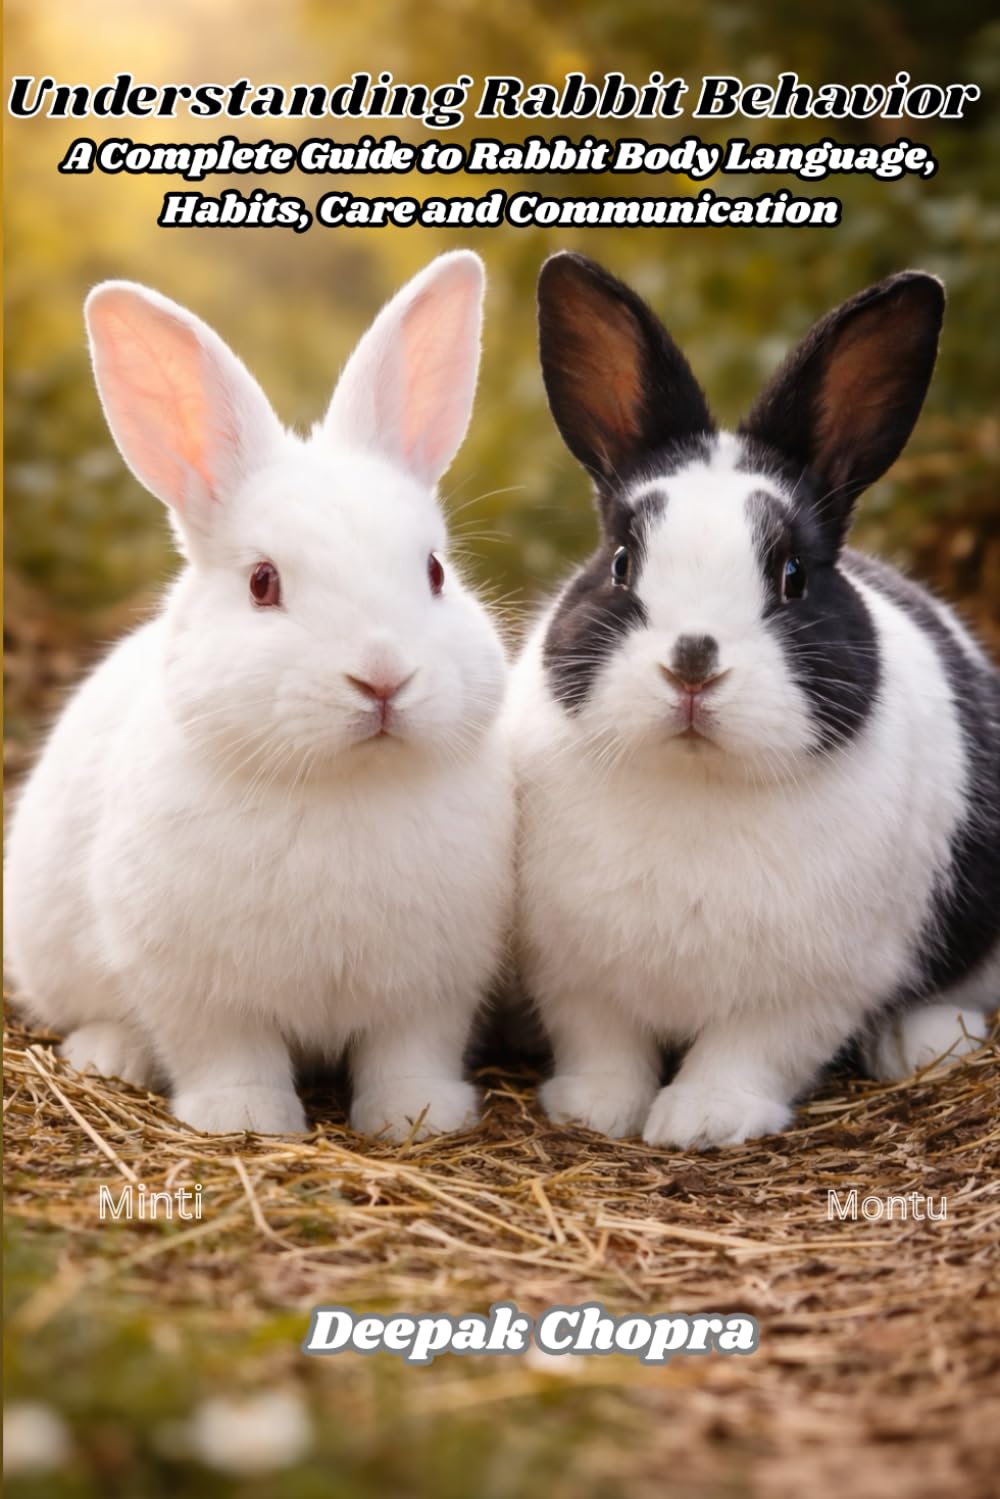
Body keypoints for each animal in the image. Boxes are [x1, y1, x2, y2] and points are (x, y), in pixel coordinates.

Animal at [4, 251, 515, 1139]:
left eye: (434, 571)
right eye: (262, 583)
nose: (383, 677)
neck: (342, 787)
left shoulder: (431, 989)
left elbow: (408, 1053)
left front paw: (416, 1118)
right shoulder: (197, 988)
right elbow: (227, 1053)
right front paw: (246, 1118)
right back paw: (110, 1054)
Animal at [504, 251, 998, 1150]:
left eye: (793, 576)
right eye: (621, 563)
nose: (693, 664)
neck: (697, 783)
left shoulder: (811, 988)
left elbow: (748, 1051)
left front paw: (701, 1120)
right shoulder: (575, 972)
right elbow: (603, 1041)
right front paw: (596, 1108)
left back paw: (921, 1043)